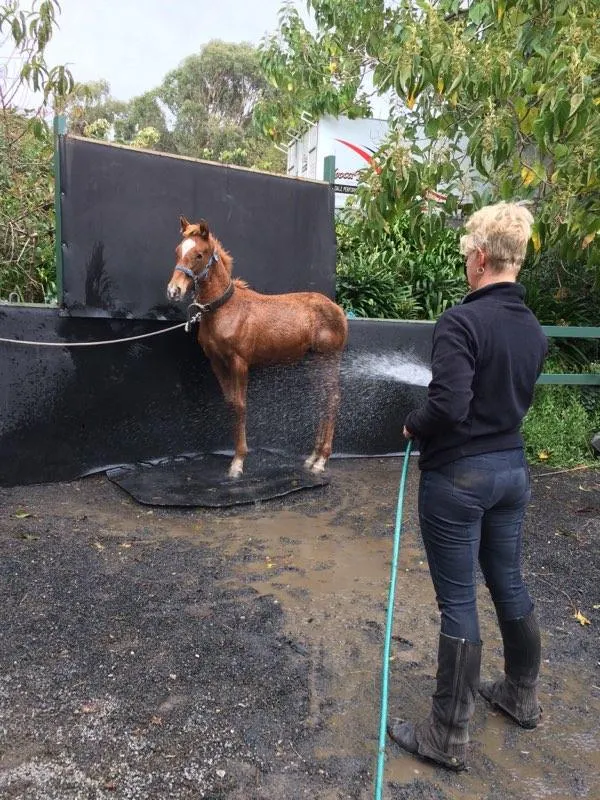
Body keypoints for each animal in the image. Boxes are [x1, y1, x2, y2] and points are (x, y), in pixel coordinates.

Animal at [166, 216, 350, 478]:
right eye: (178, 251)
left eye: (199, 255)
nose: (174, 291)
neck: (226, 309)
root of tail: (339, 311)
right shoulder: (217, 363)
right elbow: (231, 403)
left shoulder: (239, 363)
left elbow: (241, 405)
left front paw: (238, 462)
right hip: (313, 362)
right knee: (322, 399)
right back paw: (312, 457)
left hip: (329, 359)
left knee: (332, 398)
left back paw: (322, 460)